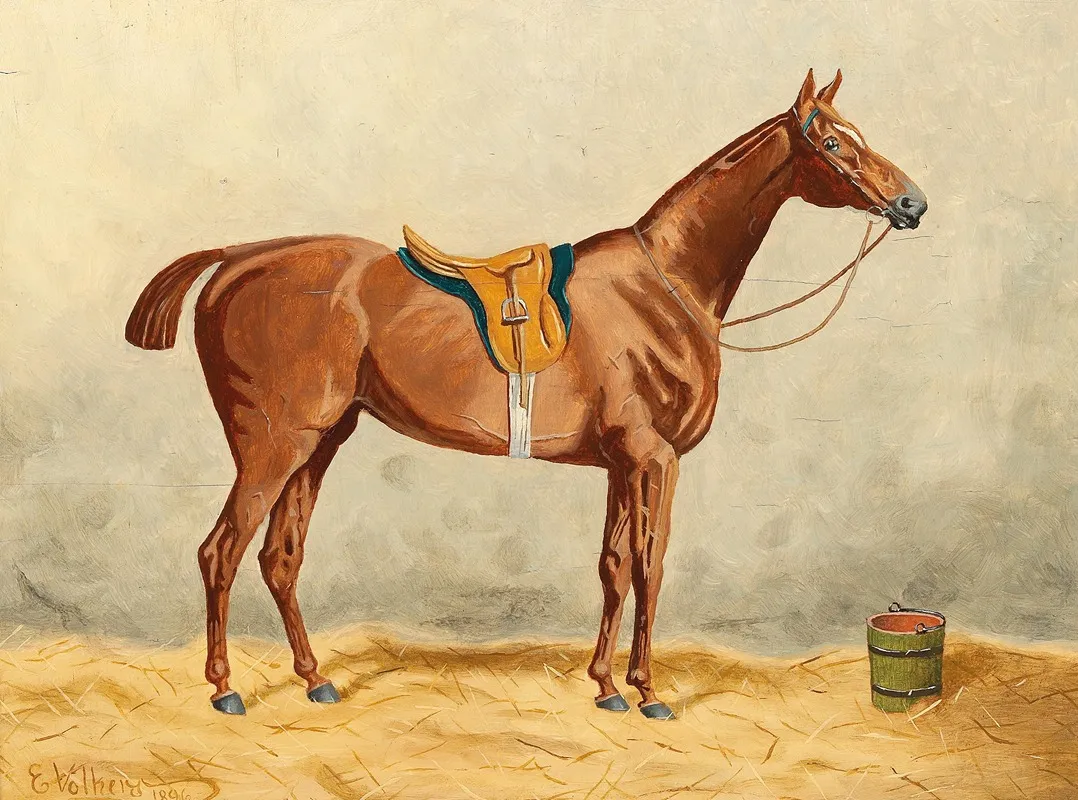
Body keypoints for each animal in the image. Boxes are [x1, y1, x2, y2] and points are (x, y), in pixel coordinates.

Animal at [124, 69, 928, 719]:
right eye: (835, 142)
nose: (912, 203)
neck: (663, 285)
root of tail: (237, 257)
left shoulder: (621, 464)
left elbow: (612, 568)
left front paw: (605, 685)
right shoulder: (655, 458)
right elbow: (649, 566)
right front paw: (647, 691)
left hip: (318, 444)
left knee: (278, 557)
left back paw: (315, 679)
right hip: (273, 445)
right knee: (221, 552)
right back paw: (225, 688)